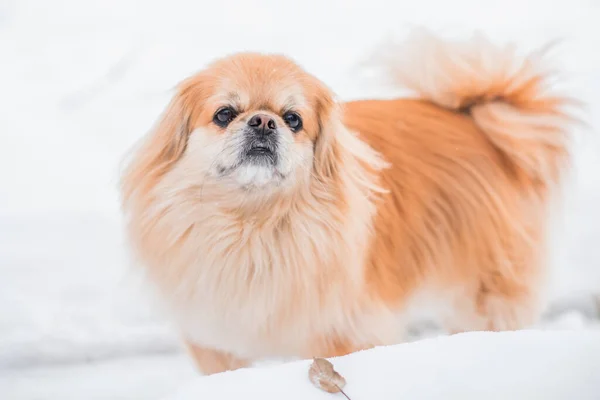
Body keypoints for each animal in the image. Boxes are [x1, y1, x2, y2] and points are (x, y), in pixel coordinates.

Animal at [118, 28, 576, 376]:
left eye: (293, 119)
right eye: (225, 114)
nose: (263, 121)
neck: (253, 225)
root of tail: (476, 120)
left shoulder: (343, 333)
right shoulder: (215, 339)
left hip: (483, 296)